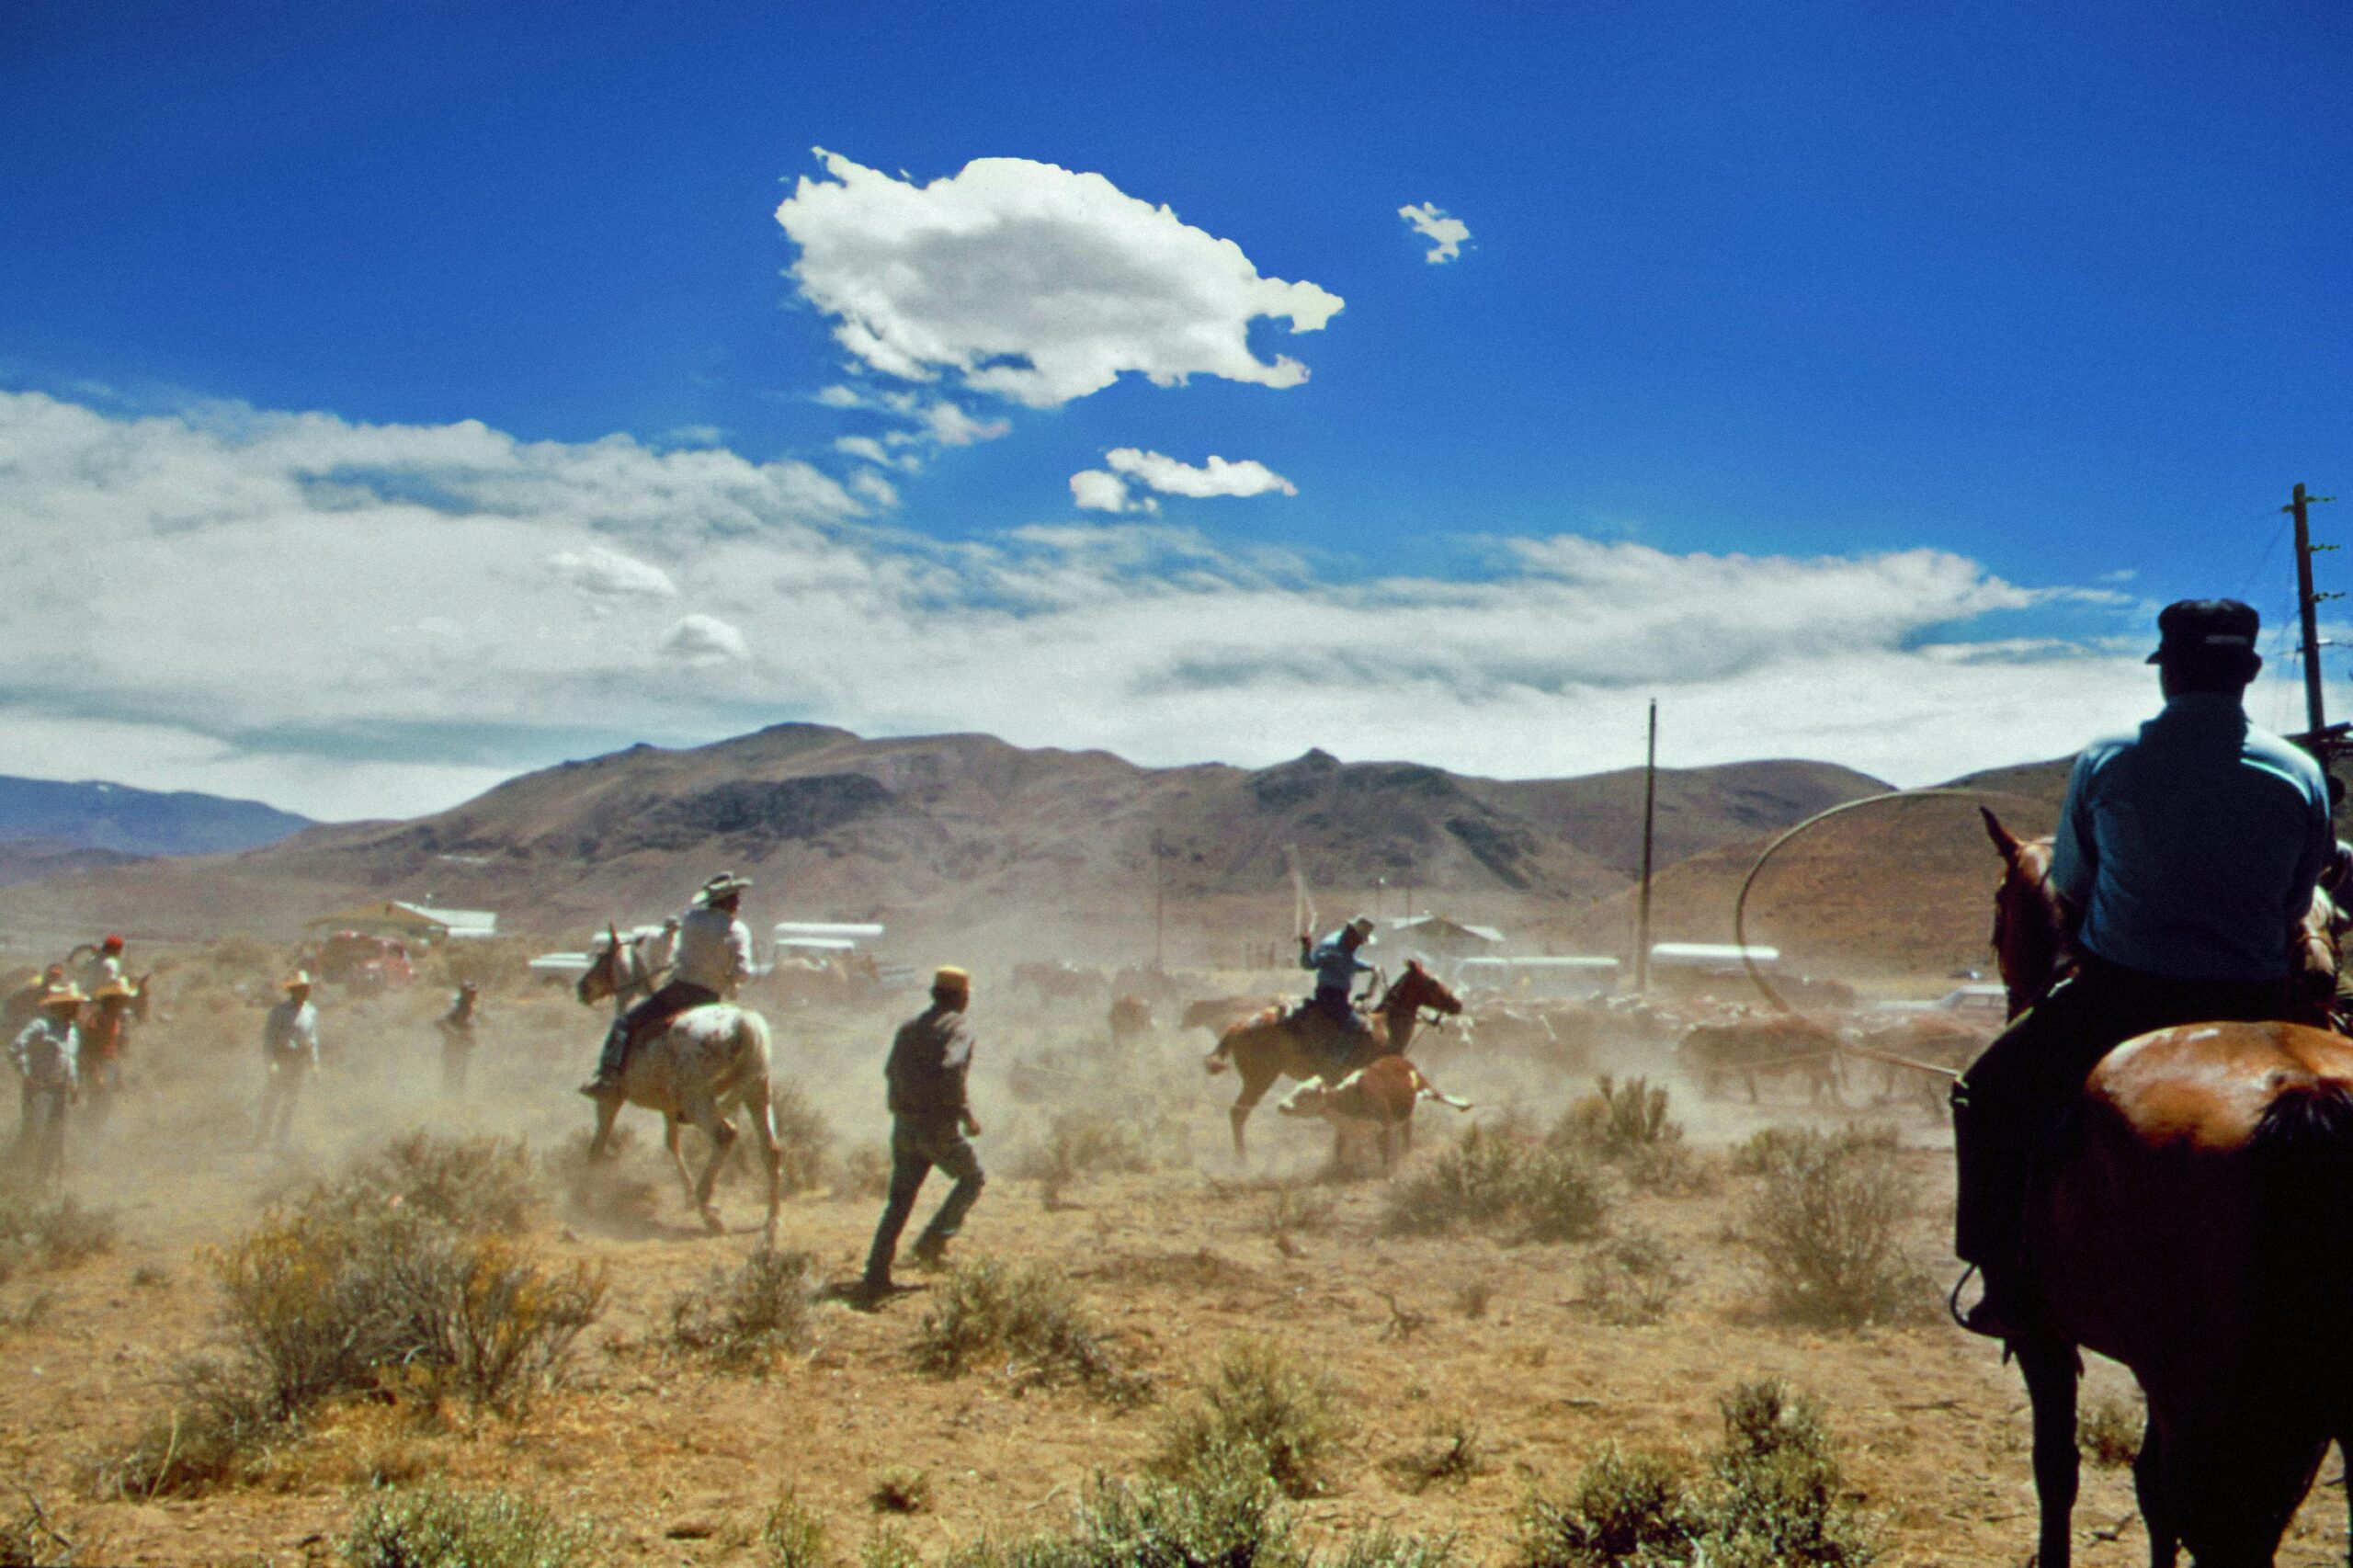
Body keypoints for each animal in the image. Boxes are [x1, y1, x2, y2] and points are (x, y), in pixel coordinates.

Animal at [574, 923, 786, 1243]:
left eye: (602, 959)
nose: (582, 988)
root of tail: (743, 1025)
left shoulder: (610, 1099)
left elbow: (599, 1142)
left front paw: (584, 1195)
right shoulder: (669, 1108)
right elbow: (672, 1143)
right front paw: (685, 1195)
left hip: (699, 1101)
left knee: (725, 1135)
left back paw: (709, 1211)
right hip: (756, 1091)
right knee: (770, 1148)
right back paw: (770, 1220)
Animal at [1204, 950, 1459, 1158]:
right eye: (1432, 981)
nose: (1457, 1004)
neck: (1384, 1026)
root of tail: (1238, 1026)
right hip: (1259, 1078)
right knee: (1238, 1113)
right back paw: (1242, 1161)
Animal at [1270, 1050, 1468, 1172]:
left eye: (1304, 1093)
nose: (1281, 1105)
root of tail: (1398, 1059)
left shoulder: (1385, 1126)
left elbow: (1385, 1154)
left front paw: (1388, 1174)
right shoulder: (1344, 1130)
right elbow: (1339, 1151)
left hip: (1423, 1084)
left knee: (1438, 1095)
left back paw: (1465, 1104)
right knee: (1407, 1128)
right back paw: (1406, 1151)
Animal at [1976, 810, 2353, 1553]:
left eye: (2000, 903)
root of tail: (2305, 1089)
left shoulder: (2044, 1336)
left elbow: (2056, 1468)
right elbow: (2149, 1495)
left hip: (2208, 1401)